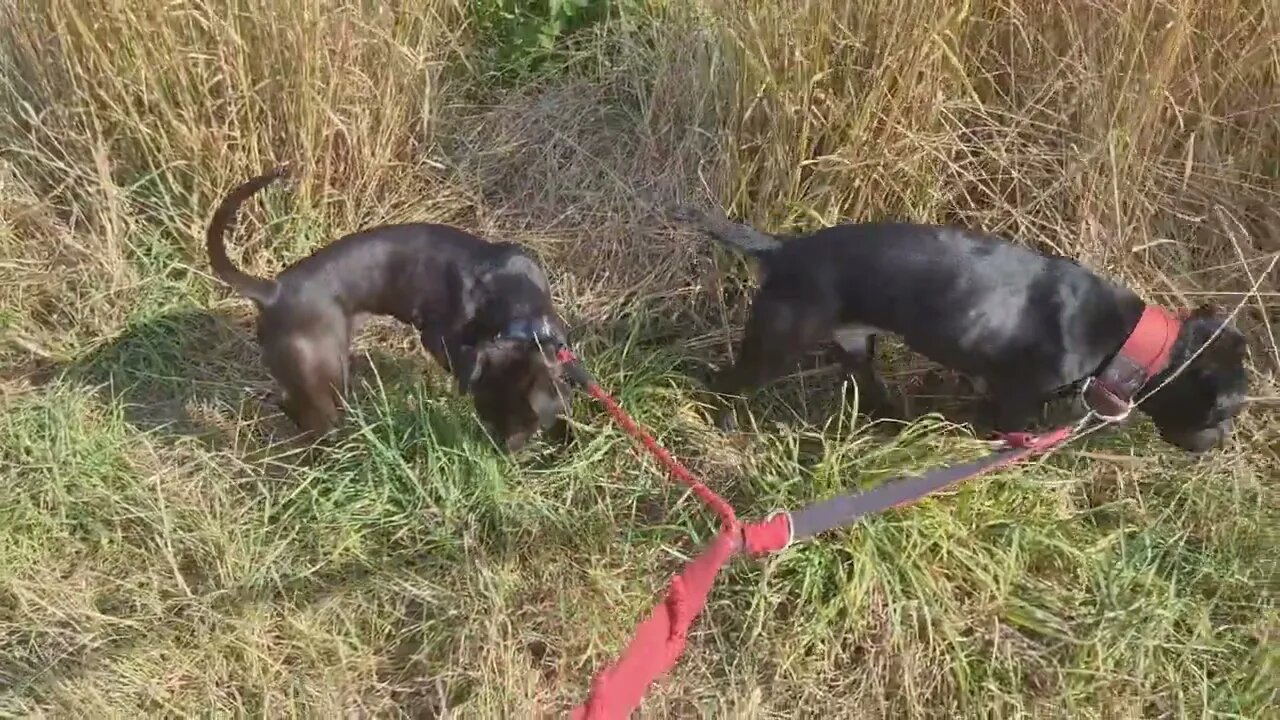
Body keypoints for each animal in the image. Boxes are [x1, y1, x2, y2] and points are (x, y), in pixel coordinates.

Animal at [204, 166, 570, 448]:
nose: (505, 452)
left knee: (289, 402)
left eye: (530, 422)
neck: (515, 303)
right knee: (316, 416)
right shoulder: (440, 340)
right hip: (325, 372)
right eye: (487, 412)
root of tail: (274, 291)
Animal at [670, 203, 1249, 448]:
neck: (1129, 339)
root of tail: (781, 250)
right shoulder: (1018, 395)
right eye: (1225, 412)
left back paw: (894, 424)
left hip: (856, 346)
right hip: (774, 343)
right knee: (729, 383)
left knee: (870, 389)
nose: (1222, 444)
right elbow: (1013, 431)